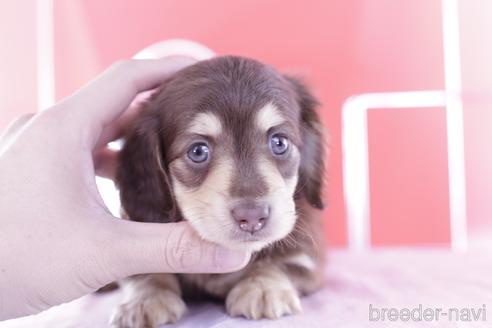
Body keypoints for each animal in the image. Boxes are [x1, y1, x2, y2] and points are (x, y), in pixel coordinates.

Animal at [112, 56, 326, 328]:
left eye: (280, 143)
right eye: (198, 151)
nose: (252, 217)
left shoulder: (308, 258)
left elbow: (282, 262)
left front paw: (263, 286)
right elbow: (142, 270)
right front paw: (145, 298)